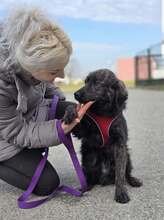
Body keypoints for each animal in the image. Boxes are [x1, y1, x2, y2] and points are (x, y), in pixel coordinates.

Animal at [62, 69, 142, 205]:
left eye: (97, 83)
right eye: (86, 81)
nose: (76, 94)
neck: (103, 113)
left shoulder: (120, 145)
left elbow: (120, 175)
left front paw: (121, 193)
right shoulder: (82, 131)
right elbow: (72, 110)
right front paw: (71, 112)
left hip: (127, 155)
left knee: (126, 174)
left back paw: (133, 180)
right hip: (88, 156)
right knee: (90, 177)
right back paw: (85, 187)